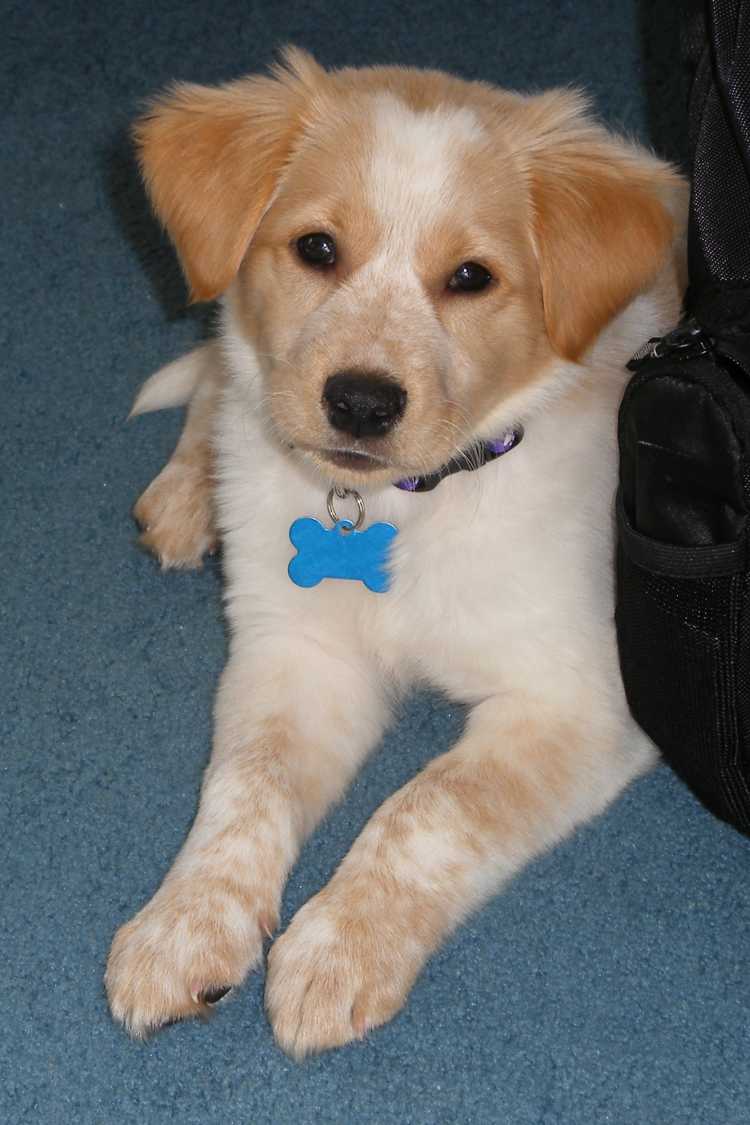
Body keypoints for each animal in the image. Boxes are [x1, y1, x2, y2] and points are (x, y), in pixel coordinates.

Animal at [104, 48, 688, 1057]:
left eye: (471, 276)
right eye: (317, 250)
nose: (361, 402)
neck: (400, 507)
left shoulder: (582, 698)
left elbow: (428, 804)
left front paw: (337, 948)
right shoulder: (299, 652)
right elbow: (243, 786)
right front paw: (182, 926)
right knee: (217, 370)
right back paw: (186, 494)